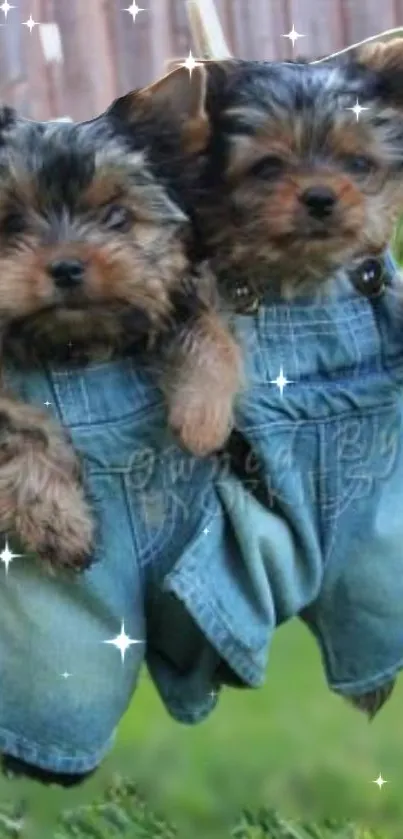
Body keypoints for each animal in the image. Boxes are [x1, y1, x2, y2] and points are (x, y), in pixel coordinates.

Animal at [0, 82, 241, 576]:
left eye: (117, 217)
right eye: (10, 222)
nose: (66, 267)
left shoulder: (175, 284)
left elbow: (204, 320)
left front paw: (202, 413)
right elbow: (9, 422)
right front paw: (54, 516)